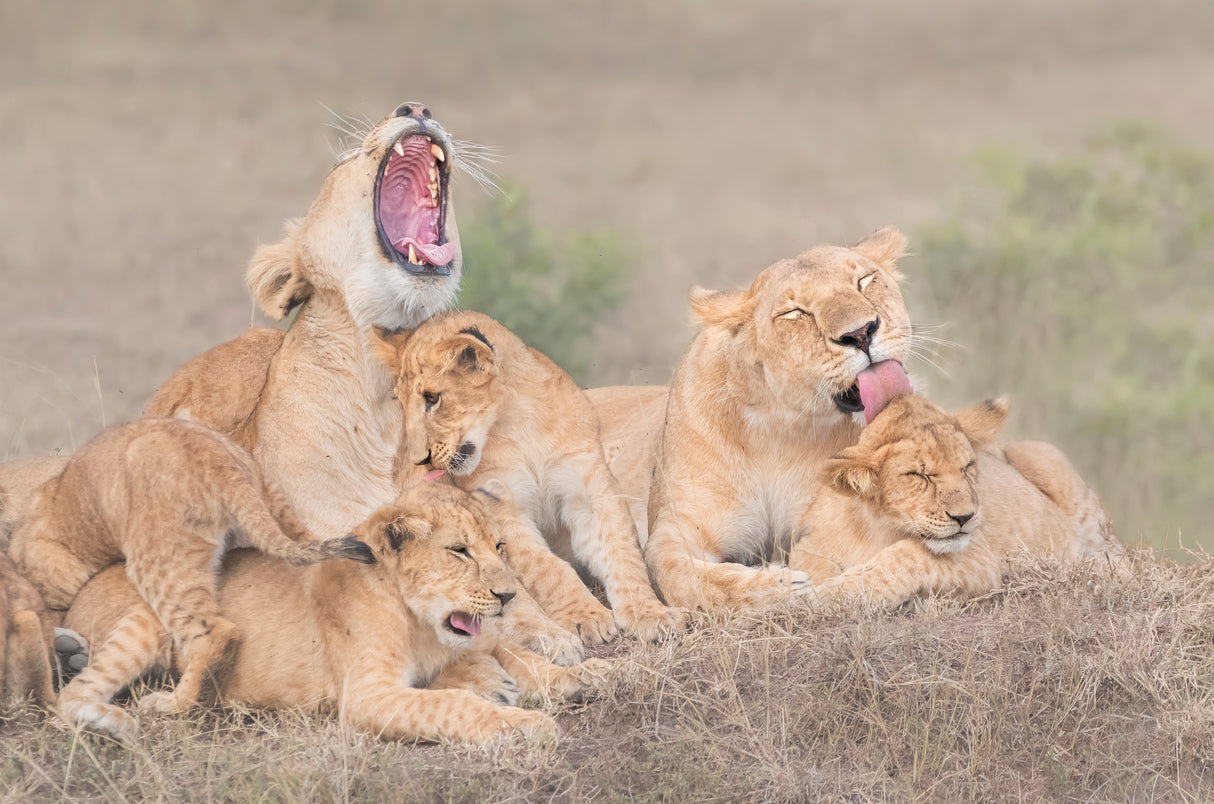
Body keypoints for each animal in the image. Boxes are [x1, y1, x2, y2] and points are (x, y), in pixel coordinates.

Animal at [57, 482, 606, 743]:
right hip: (149, 620)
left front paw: (584, 676)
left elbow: (521, 657)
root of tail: (88, 583)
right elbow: (454, 704)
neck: (422, 625)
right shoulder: (366, 696)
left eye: (498, 546)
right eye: (459, 551)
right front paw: (525, 724)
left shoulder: (476, 639)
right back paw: (133, 713)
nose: (508, 596)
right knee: (68, 699)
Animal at [374, 311, 686, 644]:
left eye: (432, 398)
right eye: (402, 405)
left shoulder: (589, 489)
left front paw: (652, 615)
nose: (419, 459)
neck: (517, 420)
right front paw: (586, 617)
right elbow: (548, 569)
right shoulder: (501, 509)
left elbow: (622, 553)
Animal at [643, 226, 917, 611]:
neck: (781, 426)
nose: (861, 333)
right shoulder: (678, 525)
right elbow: (678, 575)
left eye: (864, 281)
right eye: (796, 312)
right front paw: (779, 586)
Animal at [788, 394, 1125, 606]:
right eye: (919, 475)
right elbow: (809, 564)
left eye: (967, 467)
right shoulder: (810, 544)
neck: (874, 528)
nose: (965, 517)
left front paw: (832, 594)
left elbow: (904, 557)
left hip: (1049, 464)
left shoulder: (981, 560)